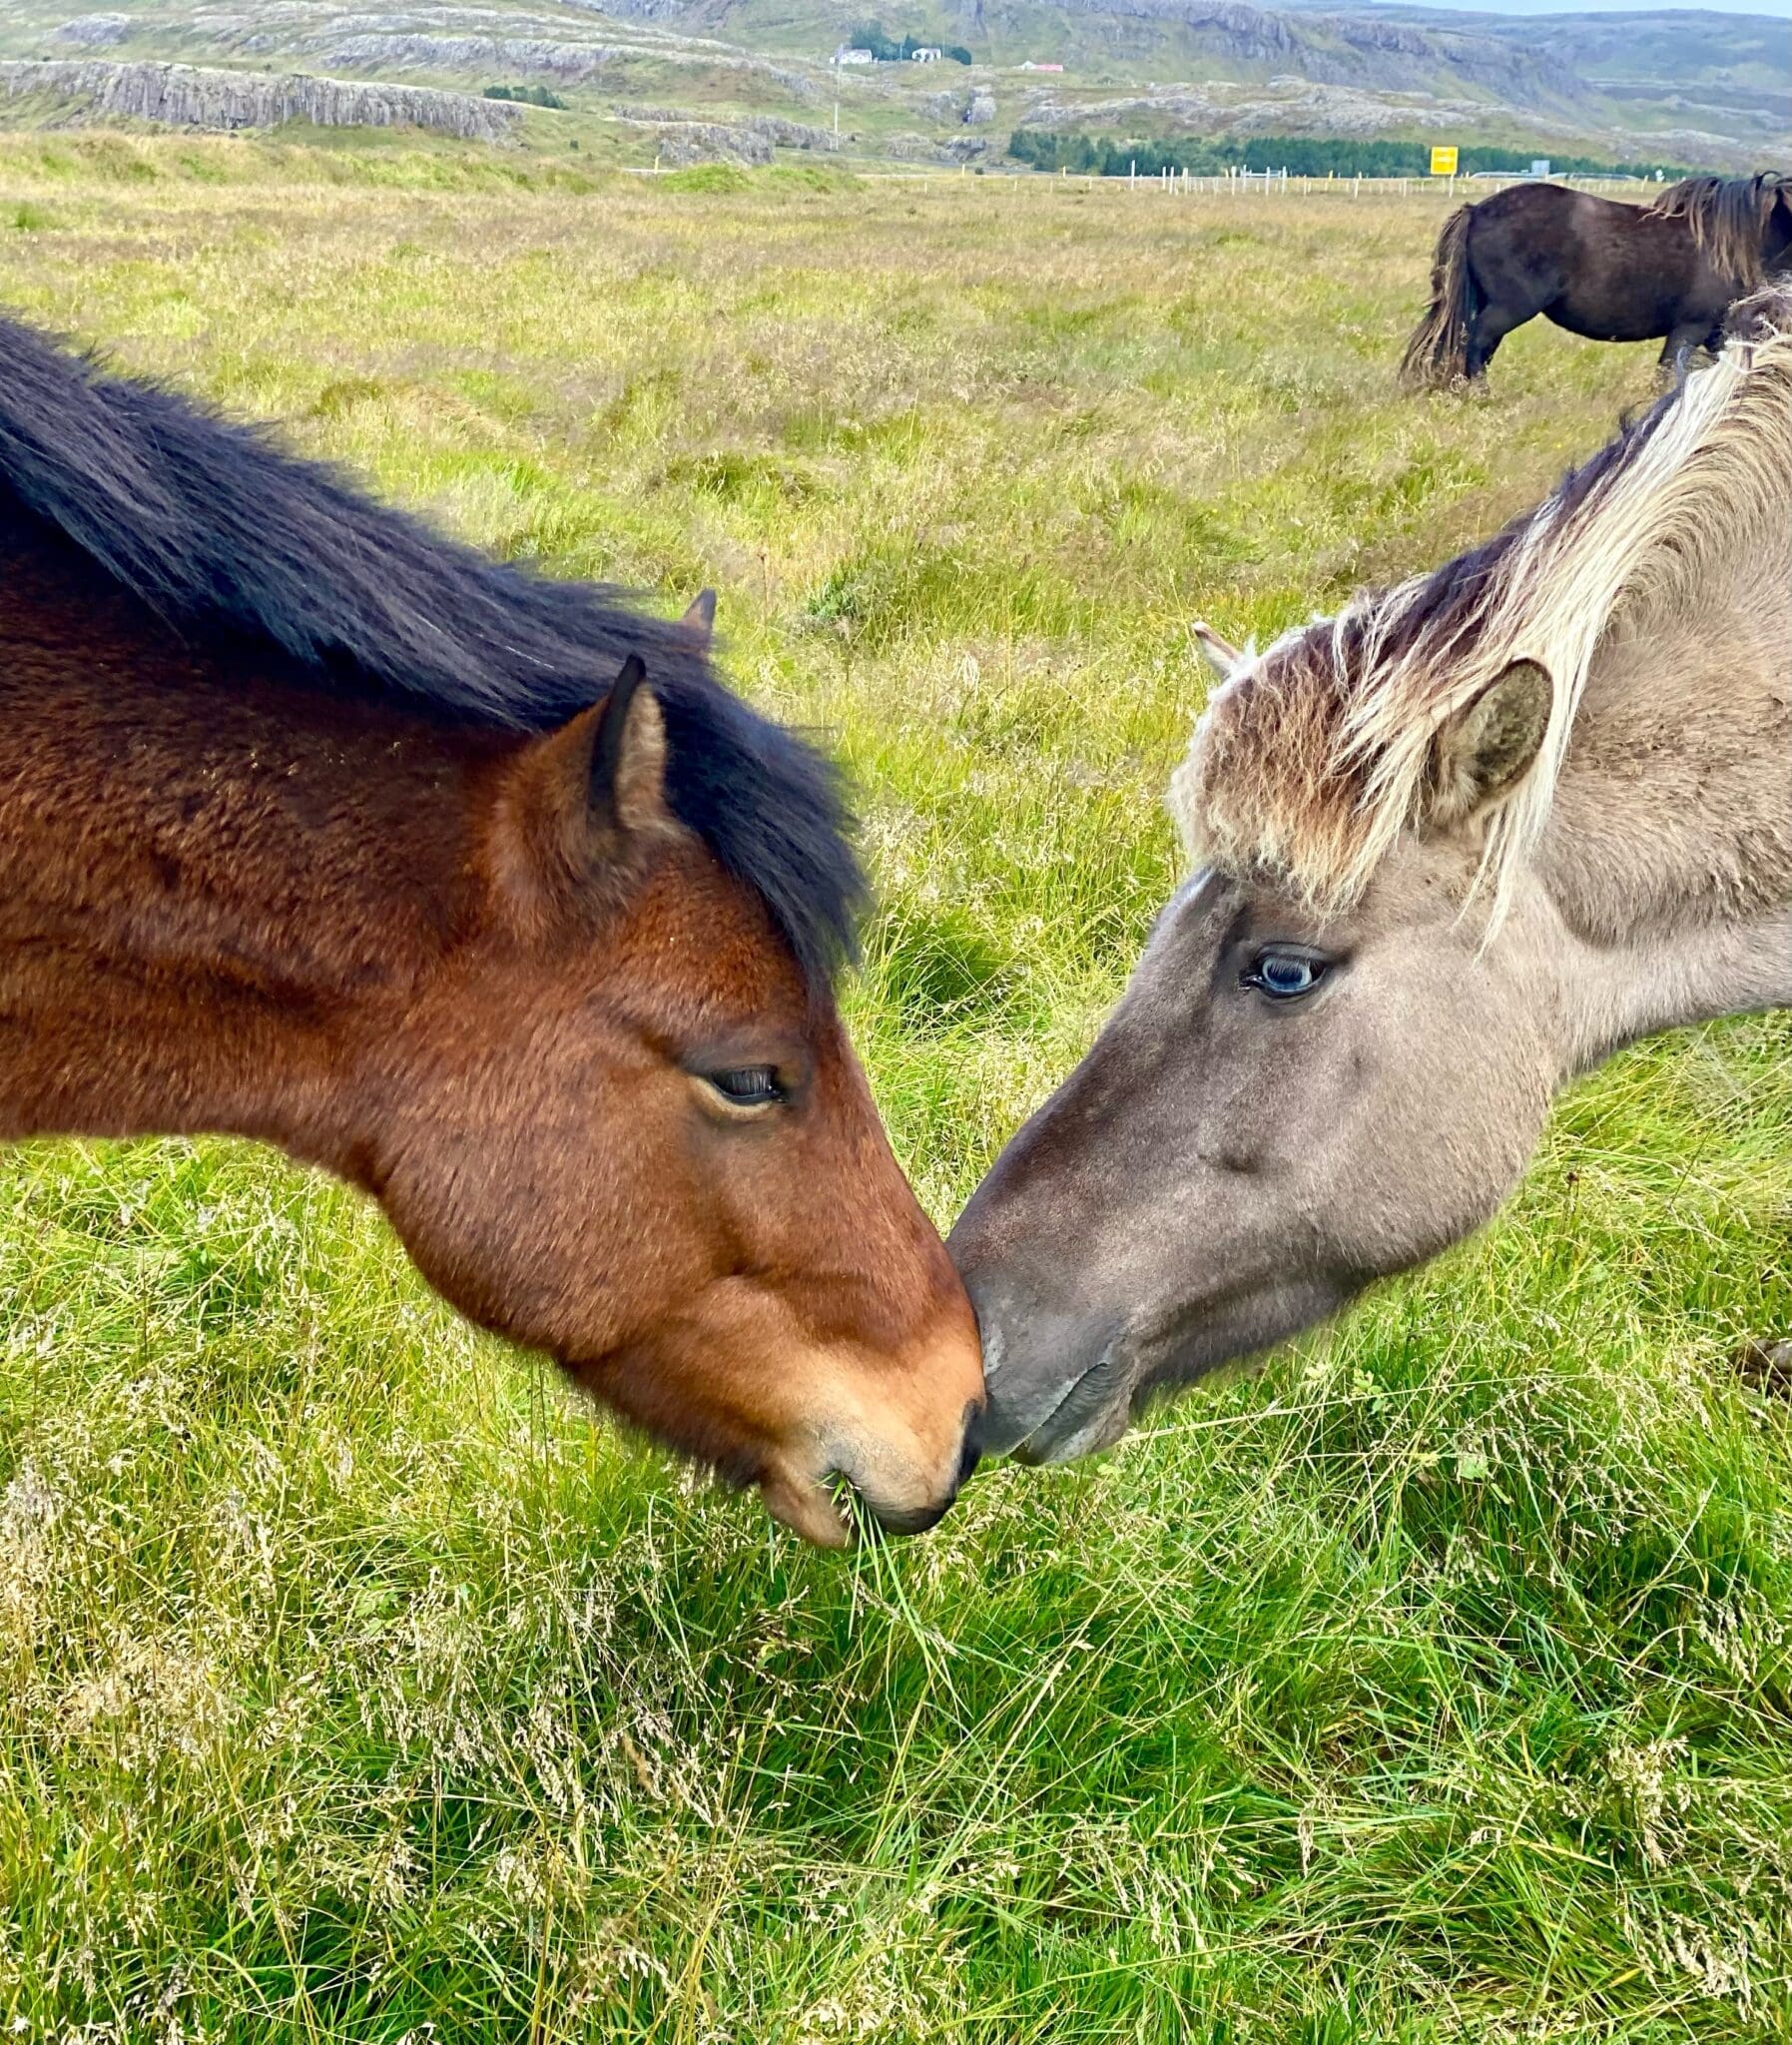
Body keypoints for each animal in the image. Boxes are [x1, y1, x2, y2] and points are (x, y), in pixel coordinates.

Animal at [1399, 171, 1792, 388]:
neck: (1737, 243)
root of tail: (1477, 210)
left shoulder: (1717, 333)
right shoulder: (1689, 328)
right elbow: (1669, 376)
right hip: (1509, 308)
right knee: (1477, 343)